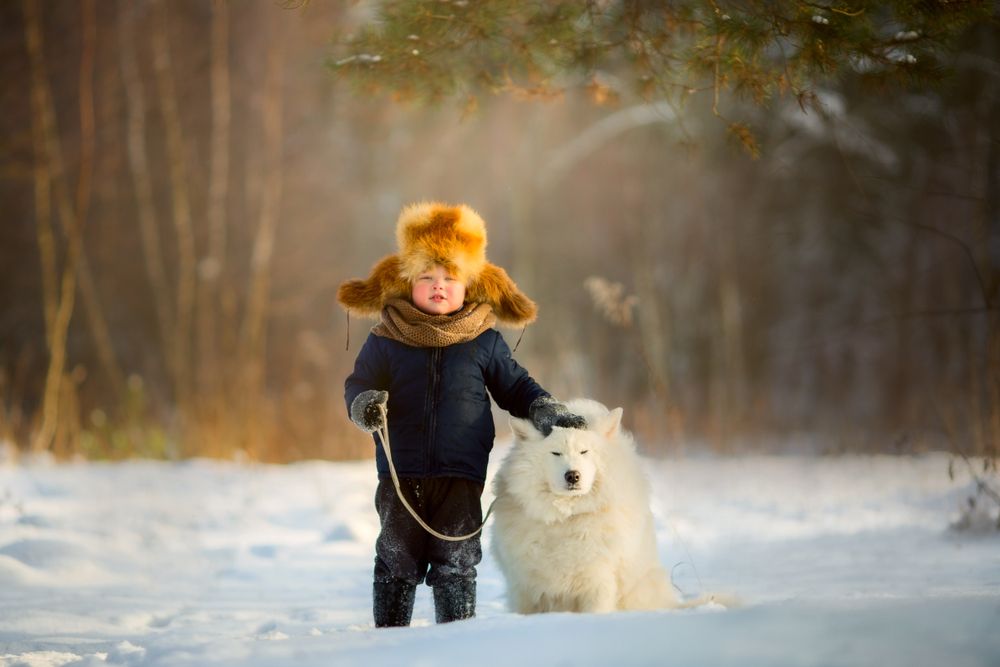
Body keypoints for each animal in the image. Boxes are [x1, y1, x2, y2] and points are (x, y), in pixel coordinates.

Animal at [492, 400, 680, 612]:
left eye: (584, 451)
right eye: (556, 453)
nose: (573, 475)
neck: (566, 517)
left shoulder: (598, 581)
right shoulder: (525, 588)